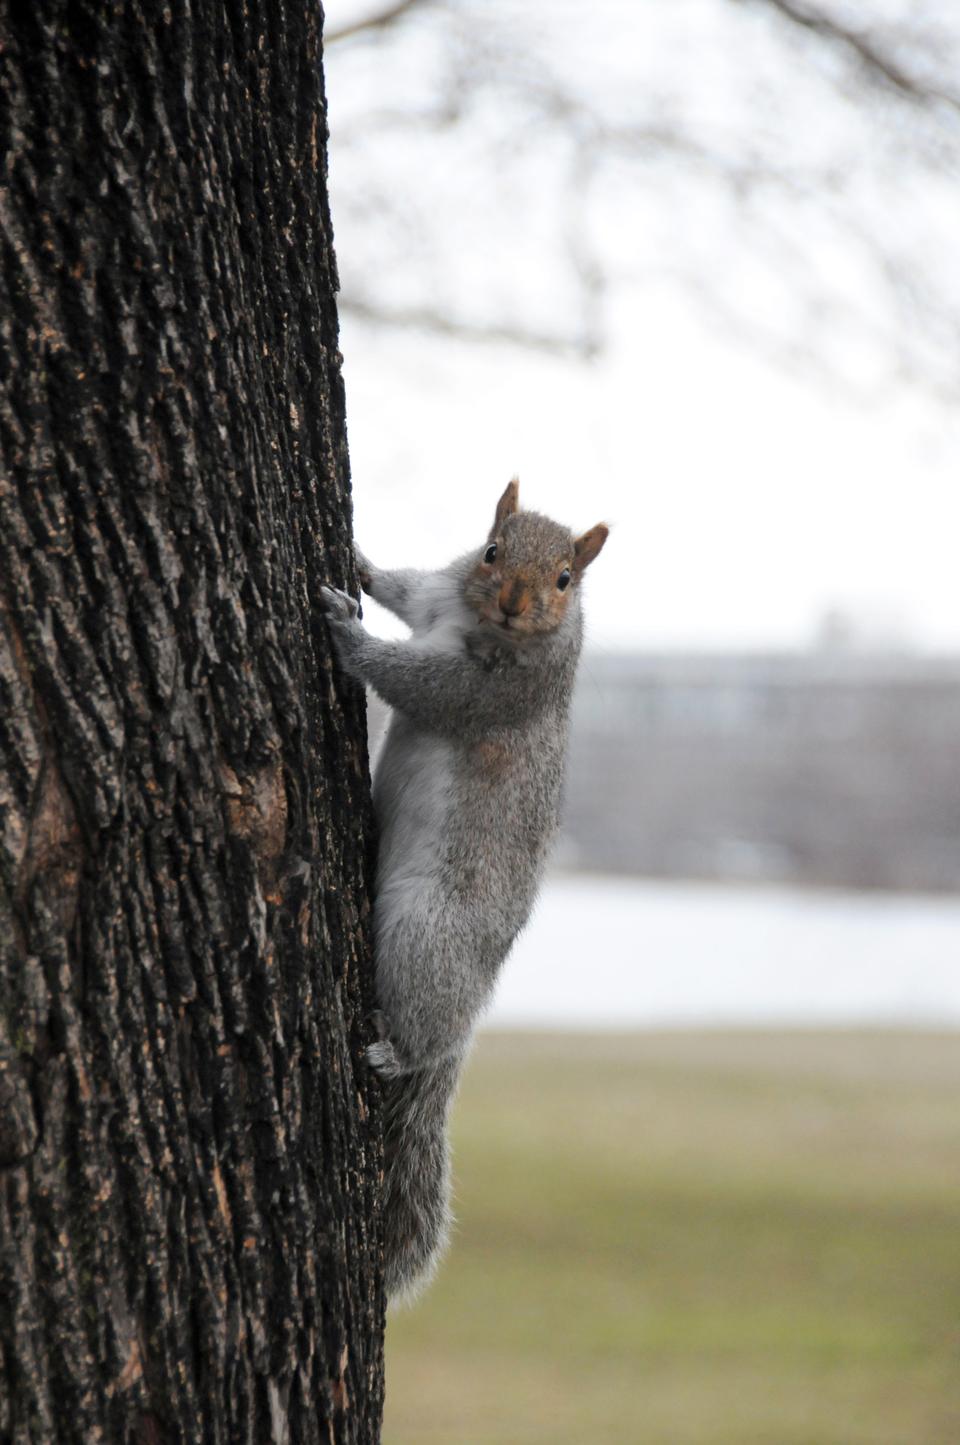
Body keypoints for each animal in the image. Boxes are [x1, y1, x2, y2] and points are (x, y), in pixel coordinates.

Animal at [319, 478, 607, 1303]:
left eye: (566, 580)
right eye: (490, 550)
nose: (514, 601)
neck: (476, 620)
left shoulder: (494, 690)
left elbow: (419, 682)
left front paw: (348, 636)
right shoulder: (434, 597)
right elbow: (402, 587)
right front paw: (360, 564)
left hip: (423, 935)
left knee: (425, 1032)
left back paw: (395, 1055)